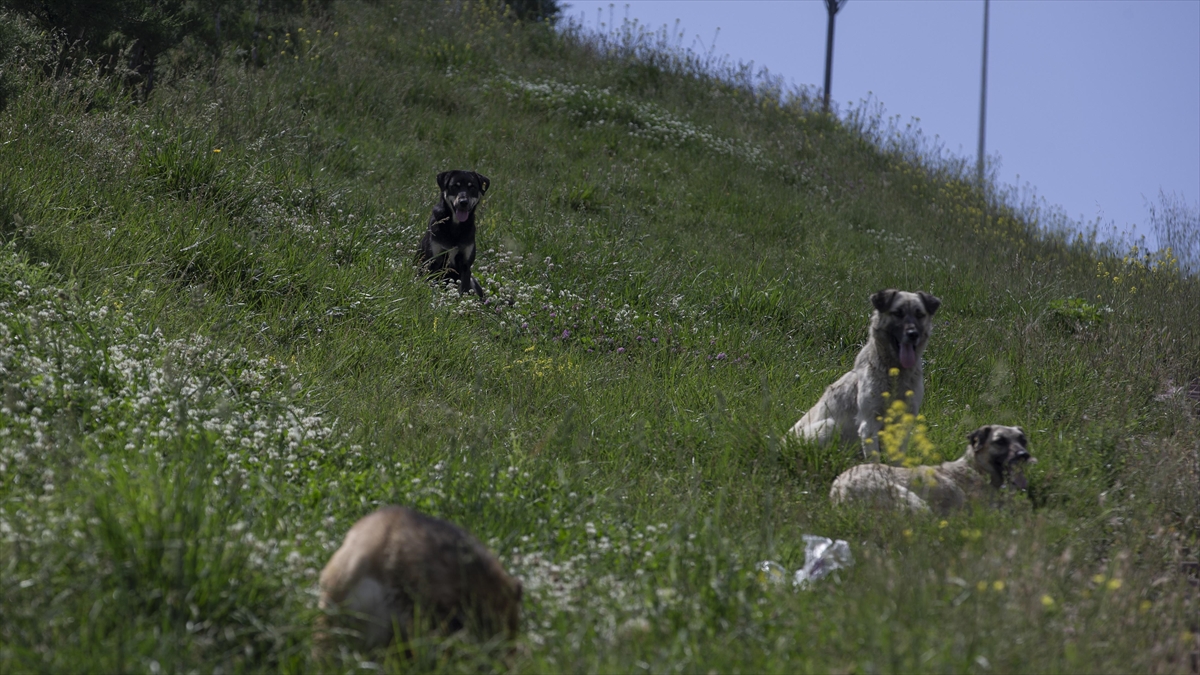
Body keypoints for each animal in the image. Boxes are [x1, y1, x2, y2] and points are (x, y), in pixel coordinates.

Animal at [412, 169, 487, 297]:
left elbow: (463, 288)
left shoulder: (465, 265)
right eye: (455, 186)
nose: (463, 202)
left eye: (472, 187)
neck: (455, 226)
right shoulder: (432, 261)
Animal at [830, 422, 1036, 511]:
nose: (1023, 455)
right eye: (1000, 441)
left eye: (1022, 440)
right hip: (908, 498)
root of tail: (837, 491)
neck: (976, 468)